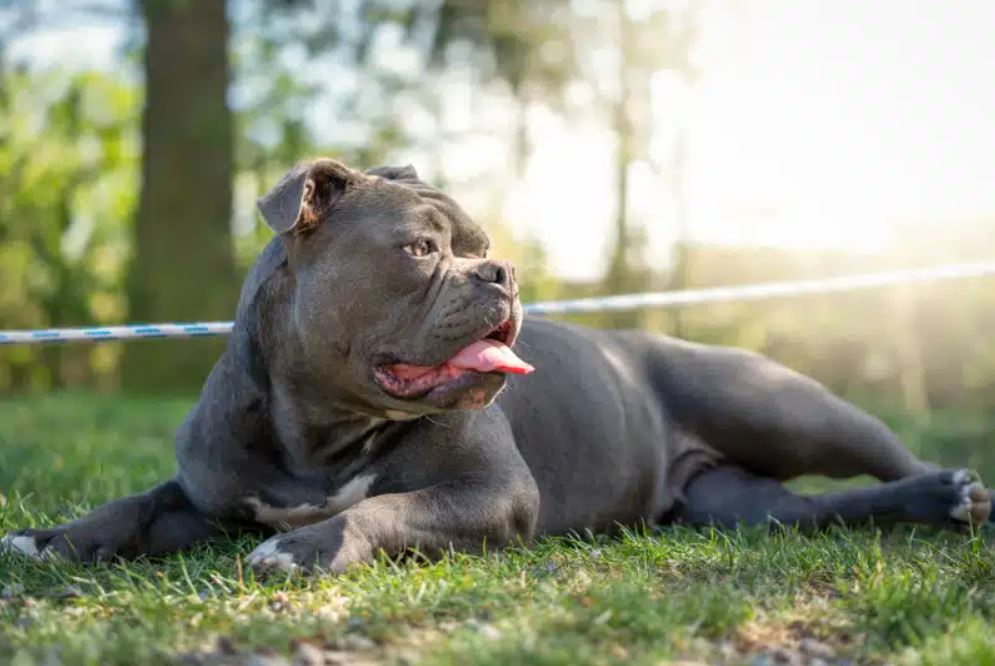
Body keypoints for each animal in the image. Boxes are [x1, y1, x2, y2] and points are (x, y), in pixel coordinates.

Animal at [3, 158, 992, 572]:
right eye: (419, 249)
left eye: (480, 247)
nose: (503, 270)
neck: (321, 432)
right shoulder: (204, 494)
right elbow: (137, 504)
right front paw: (56, 538)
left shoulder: (492, 495)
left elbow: (386, 507)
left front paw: (309, 545)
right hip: (741, 507)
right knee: (823, 510)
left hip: (779, 404)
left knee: (886, 458)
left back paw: (955, 492)